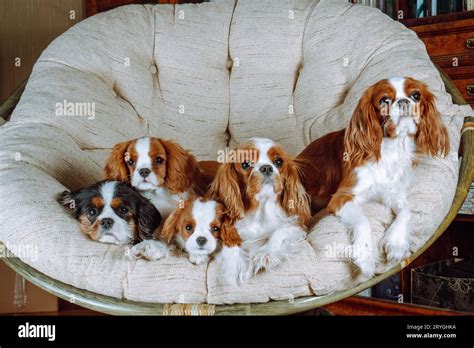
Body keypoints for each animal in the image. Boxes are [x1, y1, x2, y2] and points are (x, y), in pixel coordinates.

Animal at [208, 137, 312, 286]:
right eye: (246, 164)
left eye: (279, 162)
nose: (267, 167)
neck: (261, 210)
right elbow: (231, 243)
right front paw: (238, 265)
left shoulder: (297, 224)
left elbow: (280, 232)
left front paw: (266, 254)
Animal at [298, 77, 450, 278]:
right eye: (384, 100)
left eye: (416, 95)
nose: (403, 101)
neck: (391, 150)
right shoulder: (341, 197)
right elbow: (363, 220)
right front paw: (365, 256)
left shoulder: (394, 194)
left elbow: (407, 211)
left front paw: (396, 242)